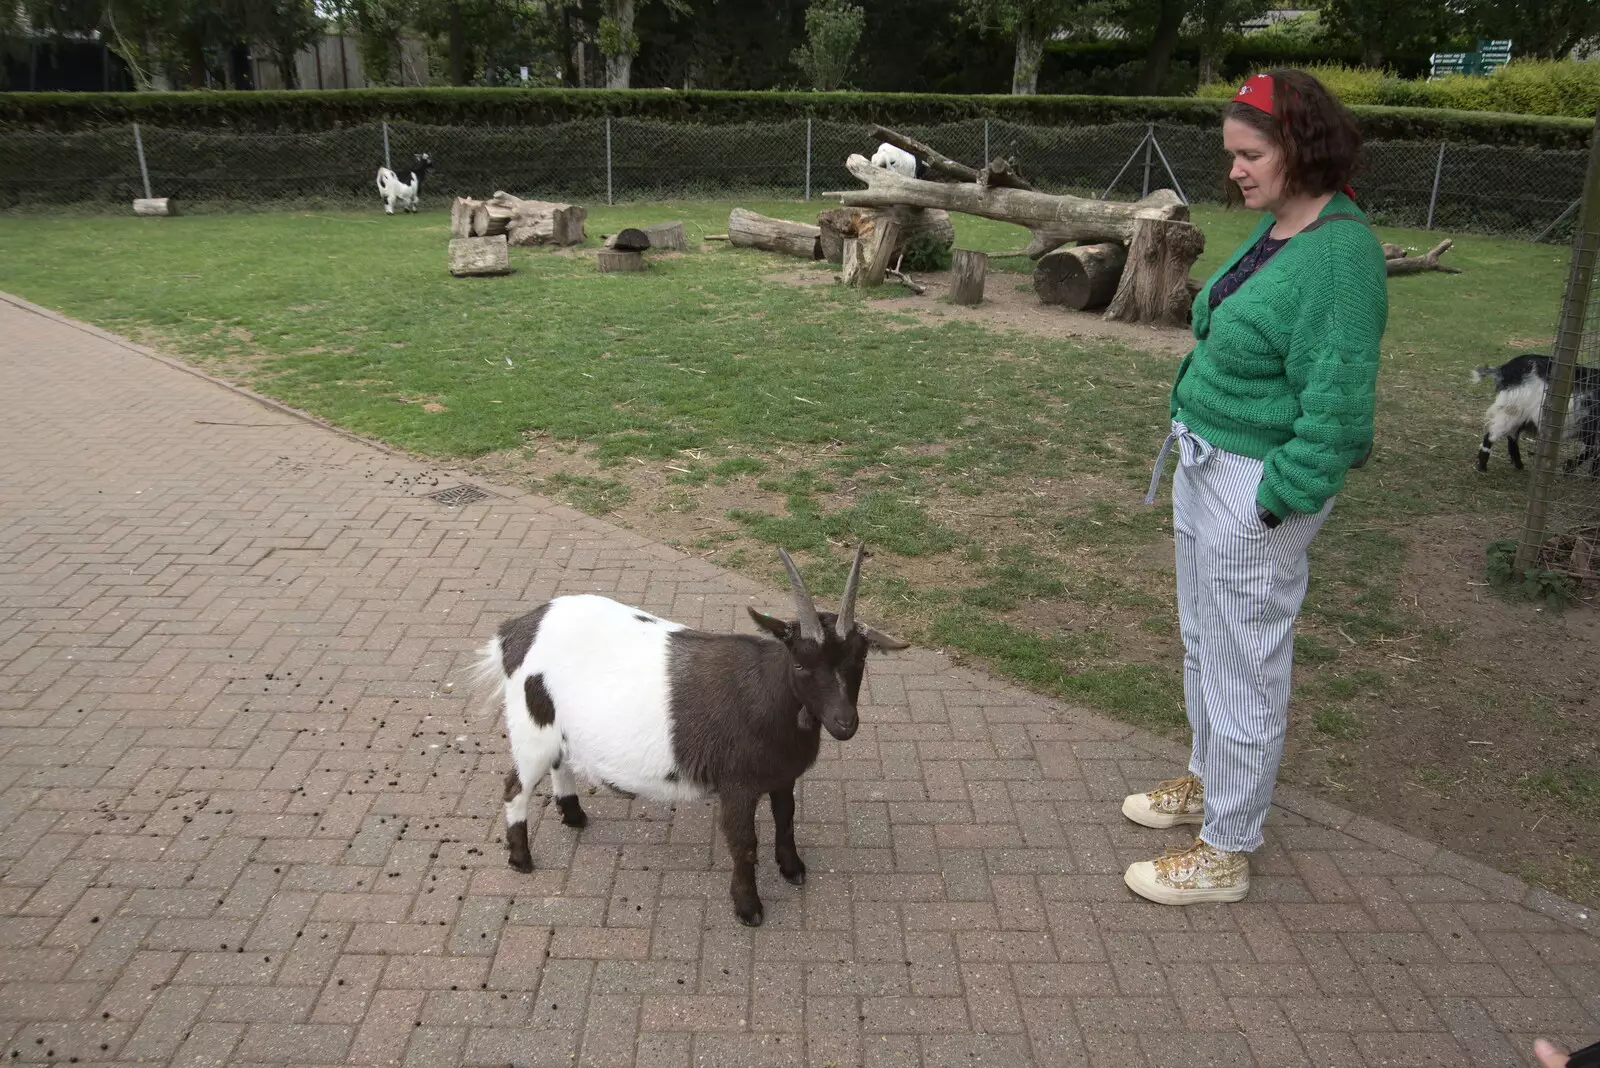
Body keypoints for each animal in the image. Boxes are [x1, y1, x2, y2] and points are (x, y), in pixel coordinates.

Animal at [473, 543, 908, 927]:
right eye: (800, 663)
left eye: (860, 658)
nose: (844, 722)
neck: (769, 695)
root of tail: (515, 632)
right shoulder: (737, 785)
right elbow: (743, 843)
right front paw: (748, 908)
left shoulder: (782, 776)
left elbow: (785, 818)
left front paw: (793, 868)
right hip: (530, 727)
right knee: (514, 786)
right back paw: (521, 859)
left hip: (555, 727)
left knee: (560, 762)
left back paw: (574, 816)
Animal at [1472, 354, 1600, 476]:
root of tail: (1505, 368)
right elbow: (1594, 450)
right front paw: (1568, 468)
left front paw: (1591, 473)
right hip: (1511, 409)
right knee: (1491, 434)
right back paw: (1482, 468)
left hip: (1519, 415)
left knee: (1512, 435)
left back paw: (1519, 465)